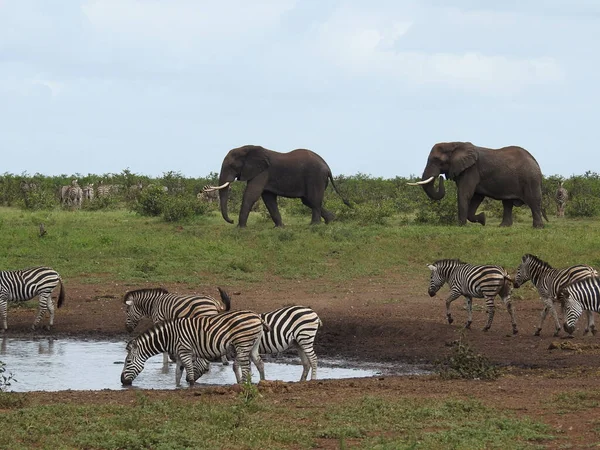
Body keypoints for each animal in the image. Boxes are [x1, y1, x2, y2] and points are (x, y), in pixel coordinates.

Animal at [122, 310, 268, 386]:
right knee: (259, 362)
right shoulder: (179, 354)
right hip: (253, 344)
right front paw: (177, 387)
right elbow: (177, 374)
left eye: (128, 362)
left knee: (246, 367)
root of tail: (256, 316)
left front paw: (190, 386)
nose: (122, 381)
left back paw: (243, 386)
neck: (170, 336)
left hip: (243, 343)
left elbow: (189, 371)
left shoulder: (185, 351)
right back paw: (262, 382)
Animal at [204, 145, 350, 227]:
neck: (248, 149)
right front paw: (278, 227)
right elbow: (268, 199)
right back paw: (330, 220)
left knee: (313, 200)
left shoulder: (262, 172)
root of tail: (327, 167)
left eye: (232, 166)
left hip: (315, 177)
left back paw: (314, 226)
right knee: (308, 201)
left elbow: (251, 194)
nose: (232, 221)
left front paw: (240, 228)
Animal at [408, 142, 548, 229]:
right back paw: (503, 226)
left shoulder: (471, 170)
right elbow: (476, 196)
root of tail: (535, 160)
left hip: (531, 178)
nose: (441, 177)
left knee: (533, 200)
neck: (453, 144)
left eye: (437, 160)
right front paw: (483, 219)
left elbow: (465, 193)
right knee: (507, 203)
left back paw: (537, 227)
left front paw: (461, 225)